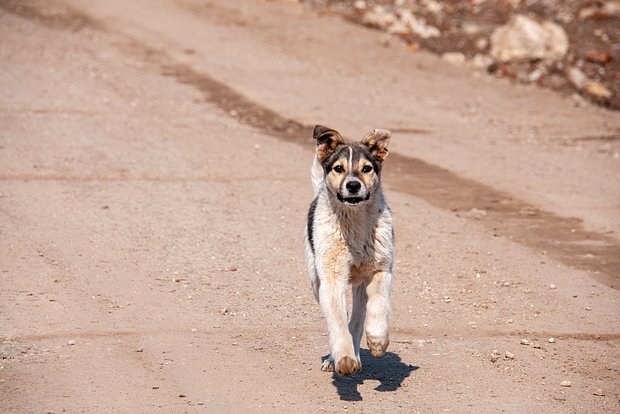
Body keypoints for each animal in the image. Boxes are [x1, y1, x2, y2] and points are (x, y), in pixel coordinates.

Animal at [304, 124, 394, 376]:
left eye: (366, 169)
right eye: (338, 168)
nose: (353, 185)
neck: (354, 225)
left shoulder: (381, 269)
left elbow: (378, 304)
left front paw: (377, 339)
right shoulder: (332, 279)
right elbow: (337, 321)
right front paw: (344, 359)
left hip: (360, 284)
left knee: (357, 317)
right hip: (316, 280)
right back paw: (336, 358)